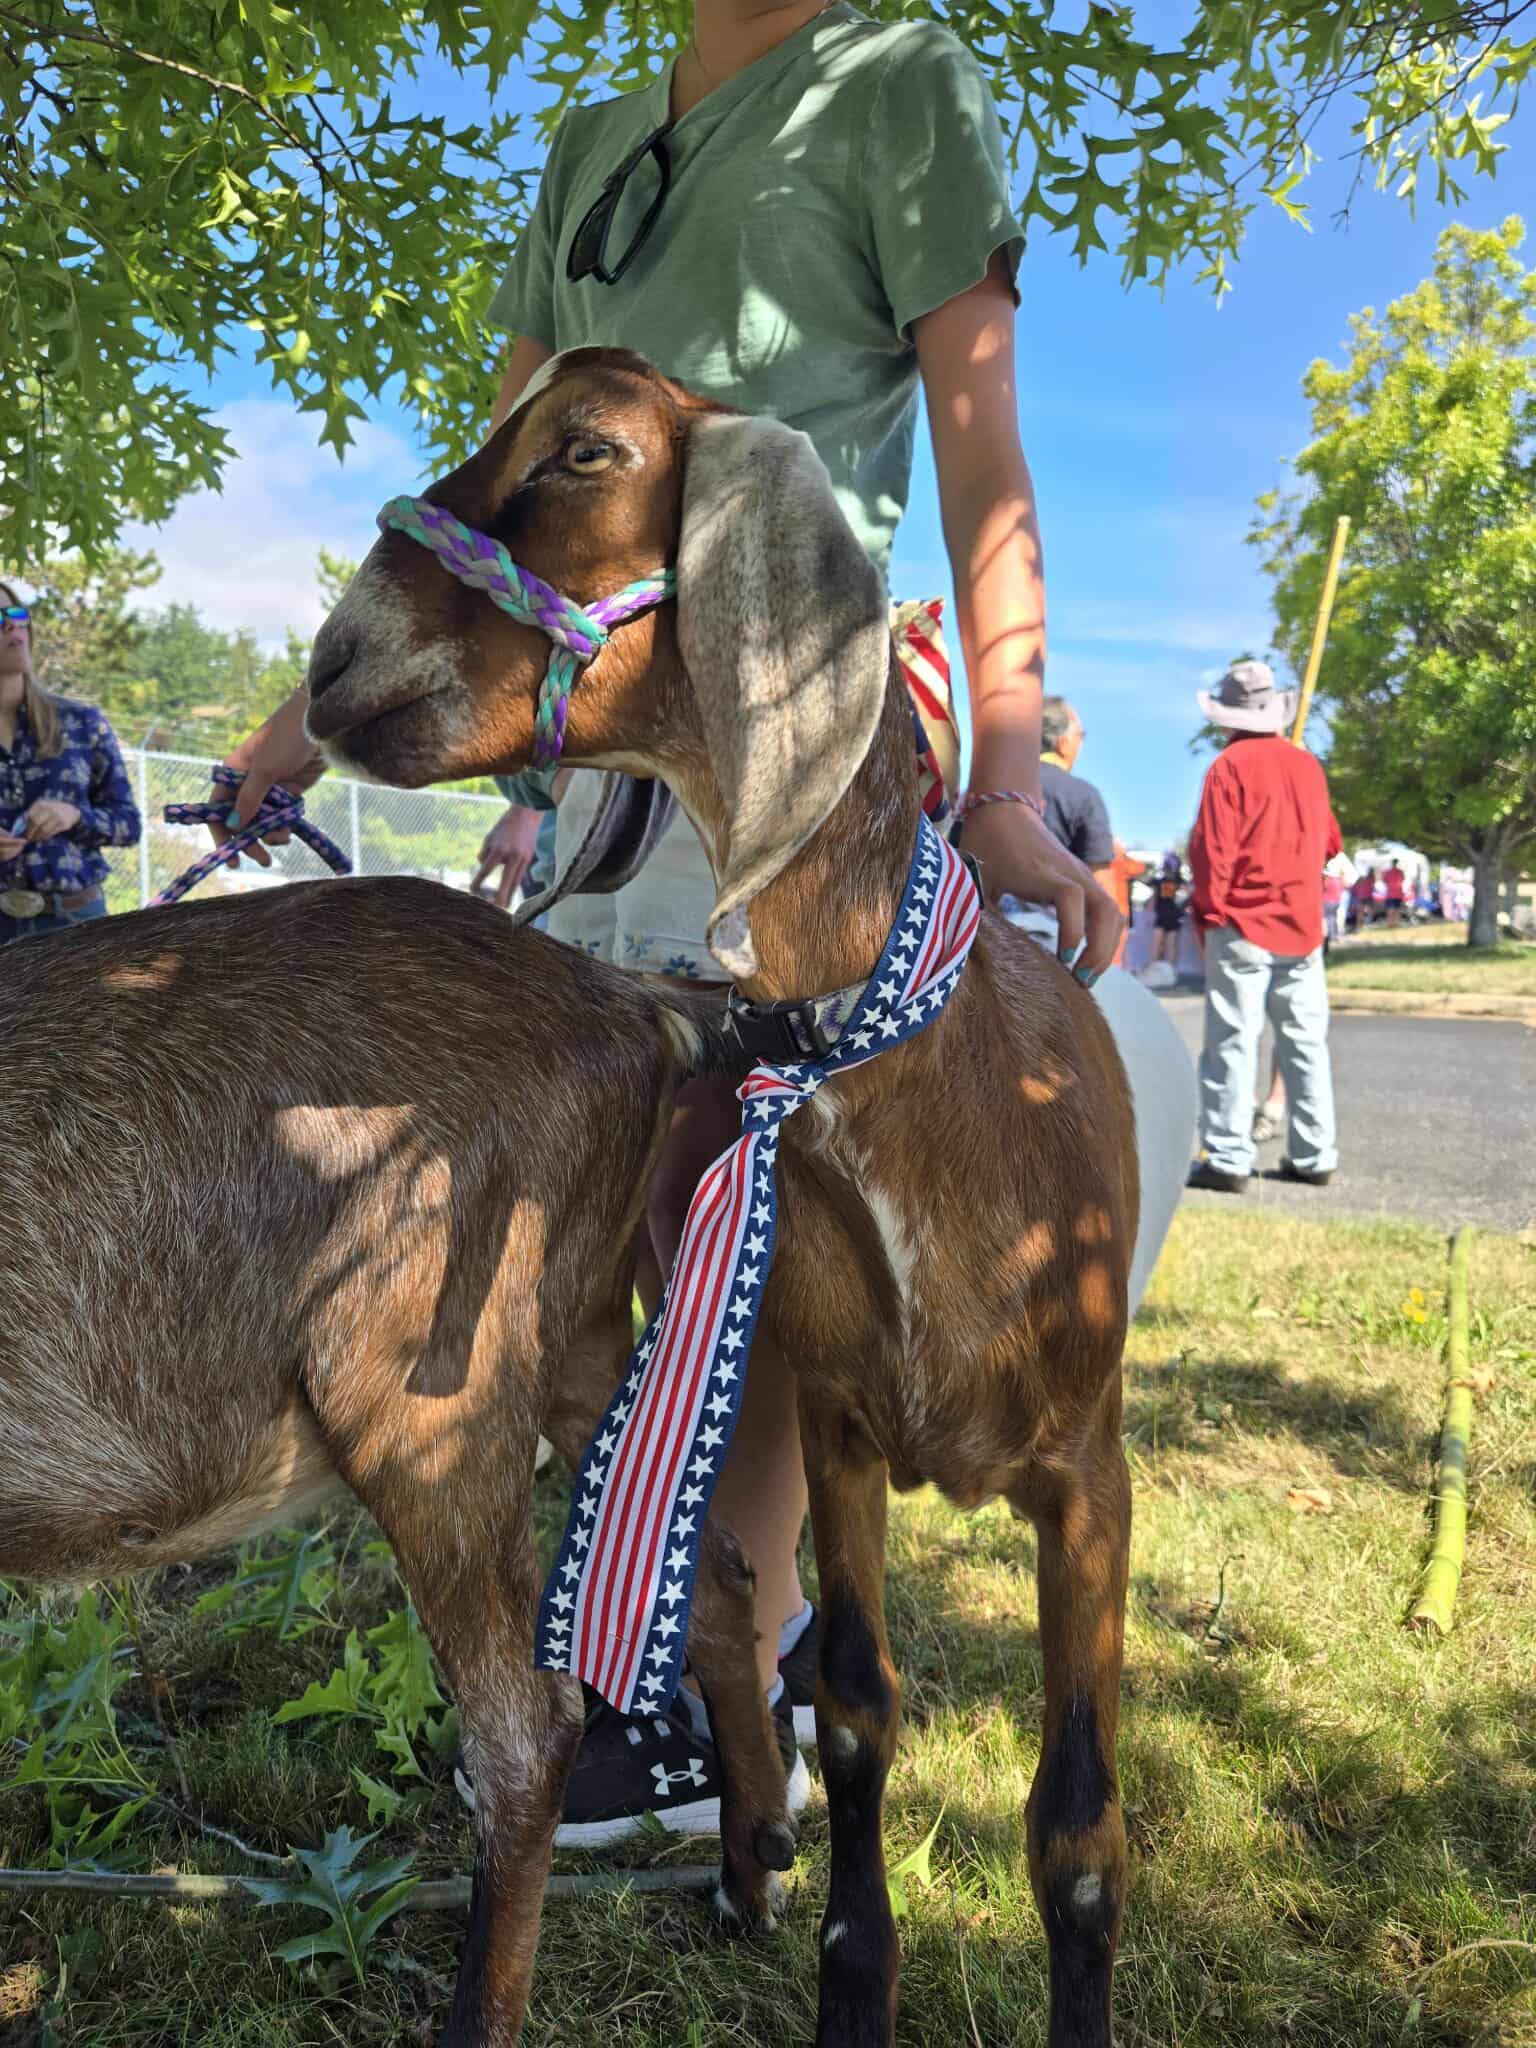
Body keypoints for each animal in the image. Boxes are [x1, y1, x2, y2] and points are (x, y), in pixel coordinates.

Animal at [0, 877, 800, 2046]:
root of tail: (622, 997)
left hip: (427, 1386)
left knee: (528, 1724)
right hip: (580, 1339)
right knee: (713, 1571)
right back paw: (753, 1869)